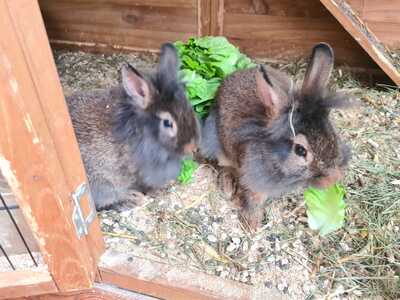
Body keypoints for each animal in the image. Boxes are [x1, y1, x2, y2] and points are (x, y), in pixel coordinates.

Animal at [200, 42, 350, 230]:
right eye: (300, 150)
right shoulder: (254, 182)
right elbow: (253, 200)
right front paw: (252, 224)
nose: (332, 179)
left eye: (333, 136)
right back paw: (227, 186)